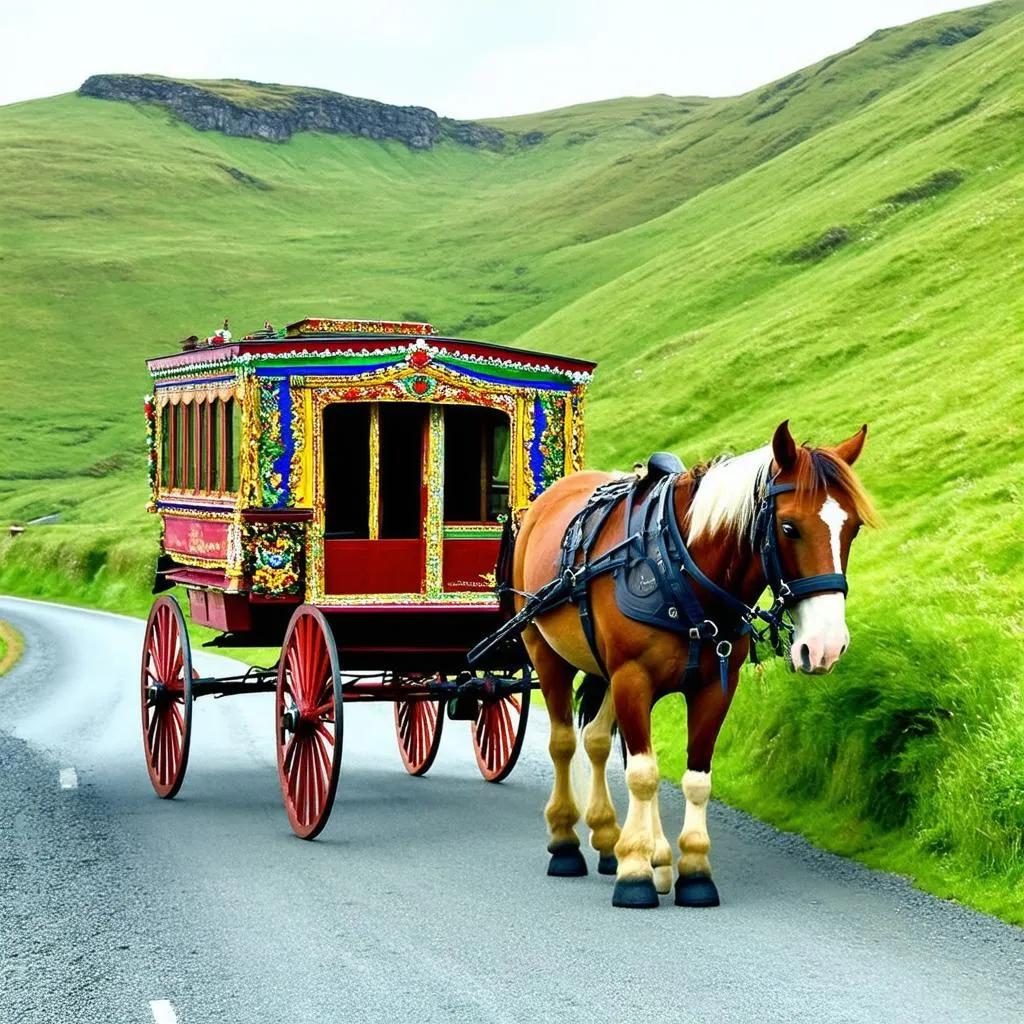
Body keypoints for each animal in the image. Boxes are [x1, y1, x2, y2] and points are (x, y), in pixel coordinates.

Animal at [512, 419, 880, 909]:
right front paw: (636, 872)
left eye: (852, 529)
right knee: (564, 744)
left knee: (596, 741)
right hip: (546, 651)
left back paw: (616, 840)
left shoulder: (712, 687)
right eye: (789, 527)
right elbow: (644, 774)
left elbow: (694, 778)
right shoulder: (632, 678)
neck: (680, 566)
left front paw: (690, 869)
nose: (826, 646)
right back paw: (568, 841)